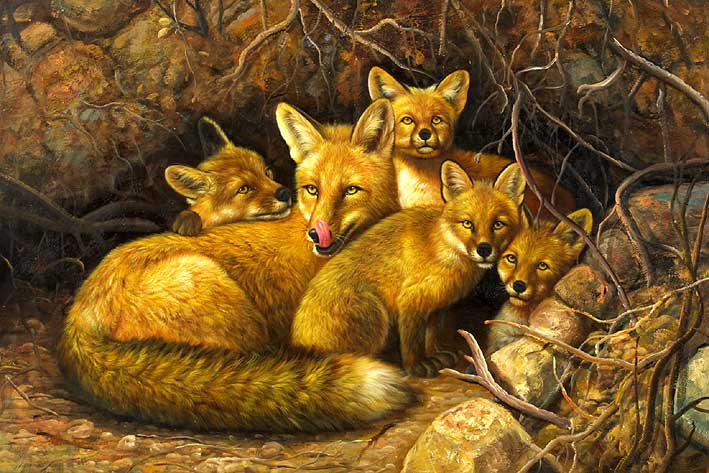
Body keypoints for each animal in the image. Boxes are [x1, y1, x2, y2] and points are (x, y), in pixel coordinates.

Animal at [291, 161, 527, 377]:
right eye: (468, 224)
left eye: (498, 224)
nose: (484, 250)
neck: (444, 248)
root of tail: (295, 343)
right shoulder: (411, 300)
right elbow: (412, 342)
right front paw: (417, 366)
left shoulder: (437, 306)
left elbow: (432, 336)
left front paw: (436, 354)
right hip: (376, 313)